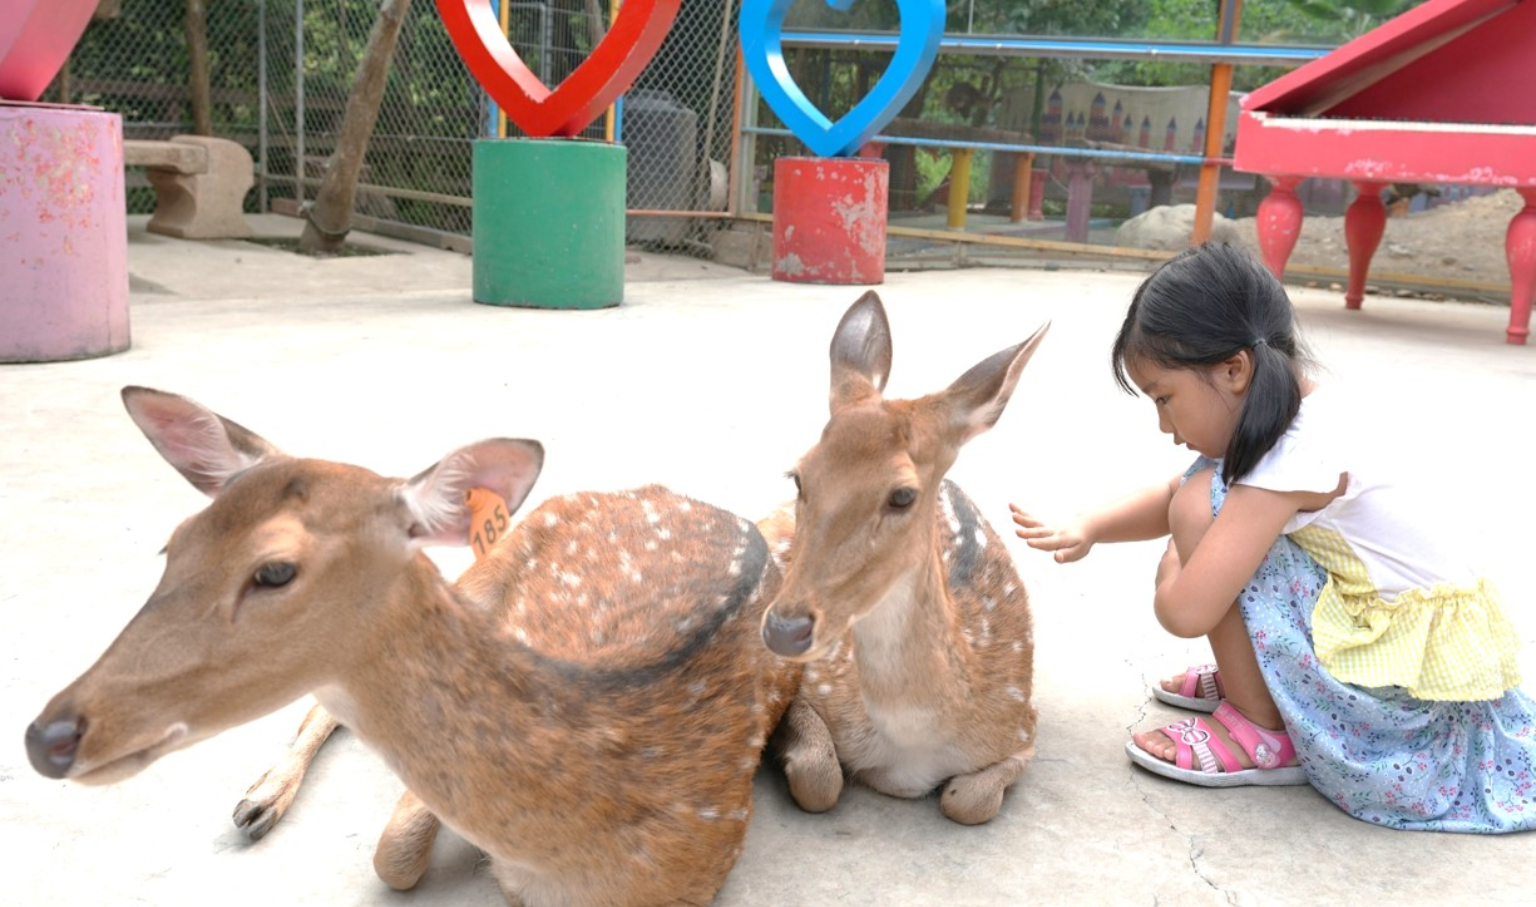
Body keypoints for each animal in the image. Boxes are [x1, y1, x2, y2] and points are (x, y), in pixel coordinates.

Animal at [25, 387, 799, 907]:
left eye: (274, 570)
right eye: (173, 544)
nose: (46, 735)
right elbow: (393, 852)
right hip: (495, 561)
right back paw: (259, 799)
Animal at [760, 290, 1046, 826]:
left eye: (902, 495)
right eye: (799, 476)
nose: (784, 630)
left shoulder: (1023, 725)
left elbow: (968, 802)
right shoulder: (813, 683)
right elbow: (819, 777)